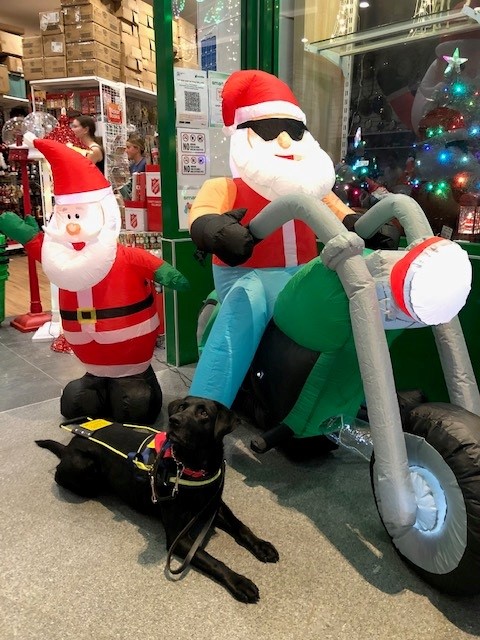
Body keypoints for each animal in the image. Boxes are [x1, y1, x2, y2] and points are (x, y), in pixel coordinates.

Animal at [35, 396, 280, 600]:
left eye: (203, 413)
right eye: (181, 407)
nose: (173, 420)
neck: (193, 468)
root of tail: (70, 444)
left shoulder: (214, 505)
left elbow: (240, 526)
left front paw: (262, 545)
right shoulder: (178, 537)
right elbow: (213, 561)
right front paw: (239, 581)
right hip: (83, 467)